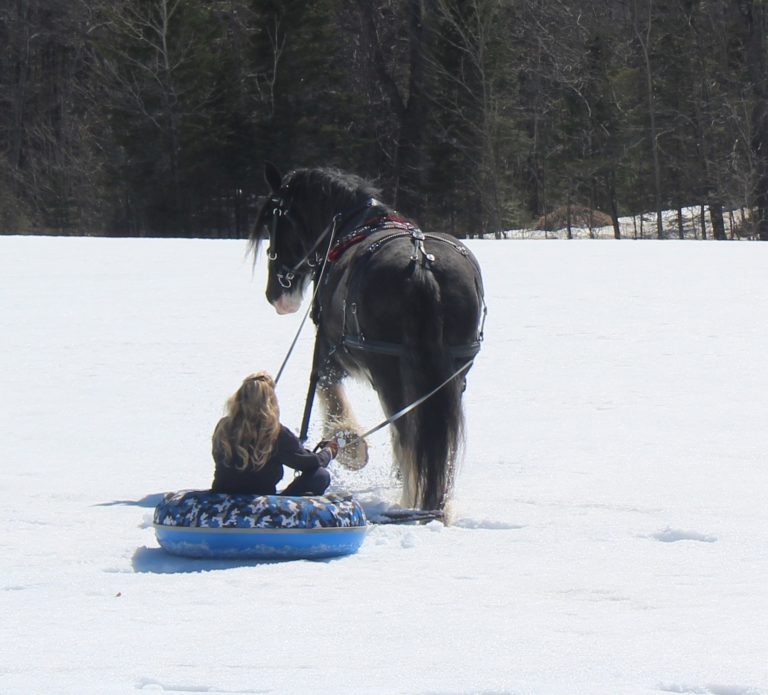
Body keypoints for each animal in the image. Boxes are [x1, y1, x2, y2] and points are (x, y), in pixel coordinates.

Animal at [250, 163, 485, 512]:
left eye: (272, 220)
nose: (275, 295)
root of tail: (422, 265)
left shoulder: (328, 352)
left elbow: (326, 391)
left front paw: (349, 447)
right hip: (453, 373)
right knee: (441, 438)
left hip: (388, 370)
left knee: (406, 431)